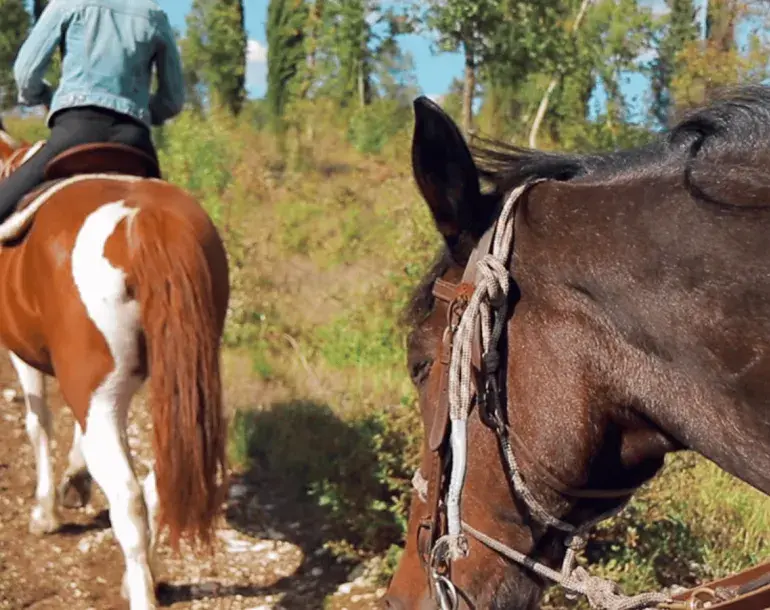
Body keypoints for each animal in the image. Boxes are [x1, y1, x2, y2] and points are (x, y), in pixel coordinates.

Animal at [0, 128, 230, 610]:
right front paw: (74, 480)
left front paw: (45, 512)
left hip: (100, 395)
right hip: (179, 390)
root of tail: (146, 220)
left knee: (127, 497)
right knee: (158, 480)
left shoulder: (24, 356)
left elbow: (38, 424)